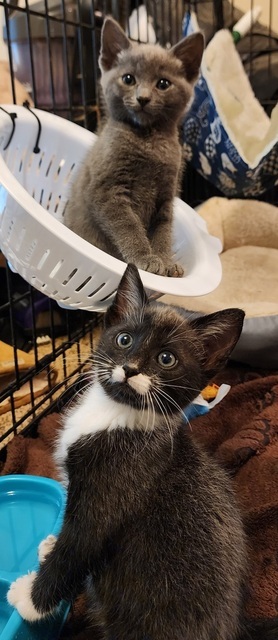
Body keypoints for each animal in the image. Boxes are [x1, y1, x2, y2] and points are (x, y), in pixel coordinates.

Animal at [64, 17, 204, 276]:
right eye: (128, 79)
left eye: (163, 83)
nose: (143, 98)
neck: (148, 141)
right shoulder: (107, 190)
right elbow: (127, 226)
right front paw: (144, 258)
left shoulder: (166, 195)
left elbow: (163, 229)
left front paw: (165, 261)